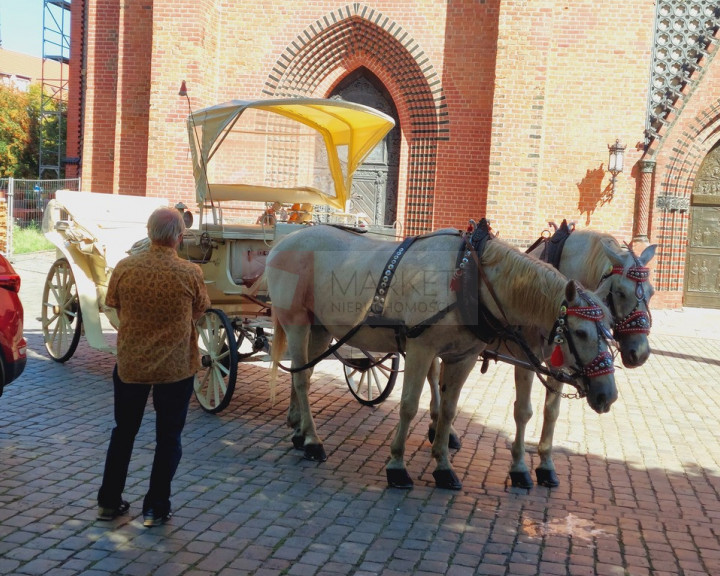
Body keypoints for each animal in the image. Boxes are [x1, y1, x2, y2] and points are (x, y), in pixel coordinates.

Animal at [268, 223, 616, 488]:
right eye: (581, 333)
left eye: (610, 331)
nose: (608, 395)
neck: (469, 277)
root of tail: (283, 241)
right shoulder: (421, 349)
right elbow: (409, 406)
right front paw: (397, 465)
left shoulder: (462, 356)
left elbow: (449, 410)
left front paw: (444, 466)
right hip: (297, 323)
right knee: (301, 378)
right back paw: (313, 442)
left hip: (321, 328)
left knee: (305, 372)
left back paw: (300, 431)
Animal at [428, 223, 660, 488]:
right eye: (620, 292)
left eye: (651, 292)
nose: (639, 353)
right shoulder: (526, 358)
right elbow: (523, 411)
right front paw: (519, 468)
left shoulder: (562, 364)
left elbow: (552, 412)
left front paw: (546, 465)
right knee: (433, 376)